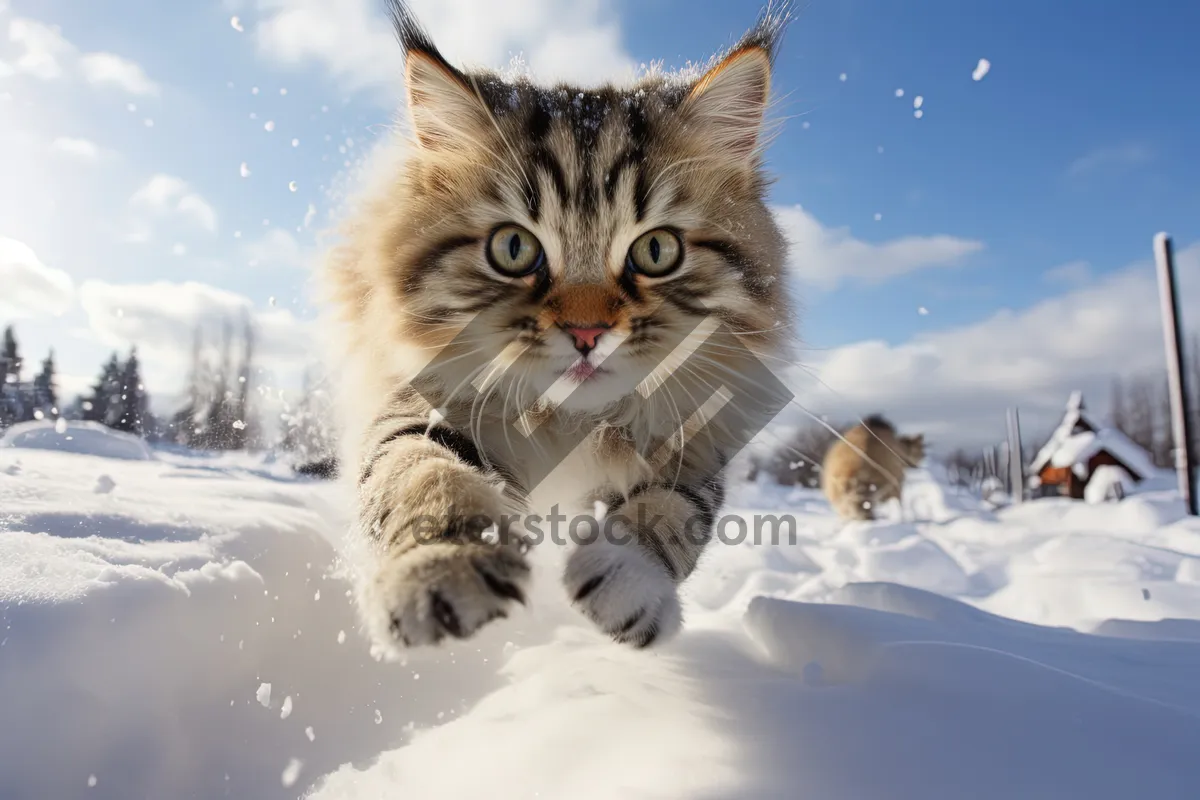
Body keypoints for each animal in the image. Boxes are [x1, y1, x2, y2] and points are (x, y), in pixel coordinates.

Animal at [326, 0, 796, 652]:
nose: (586, 333)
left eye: (657, 252)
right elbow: (425, 476)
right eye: (513, 248)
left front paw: (628, 579)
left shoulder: (700, 432)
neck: (573, 422)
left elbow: (675, 509)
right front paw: (441, 571)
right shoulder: (421, 401)